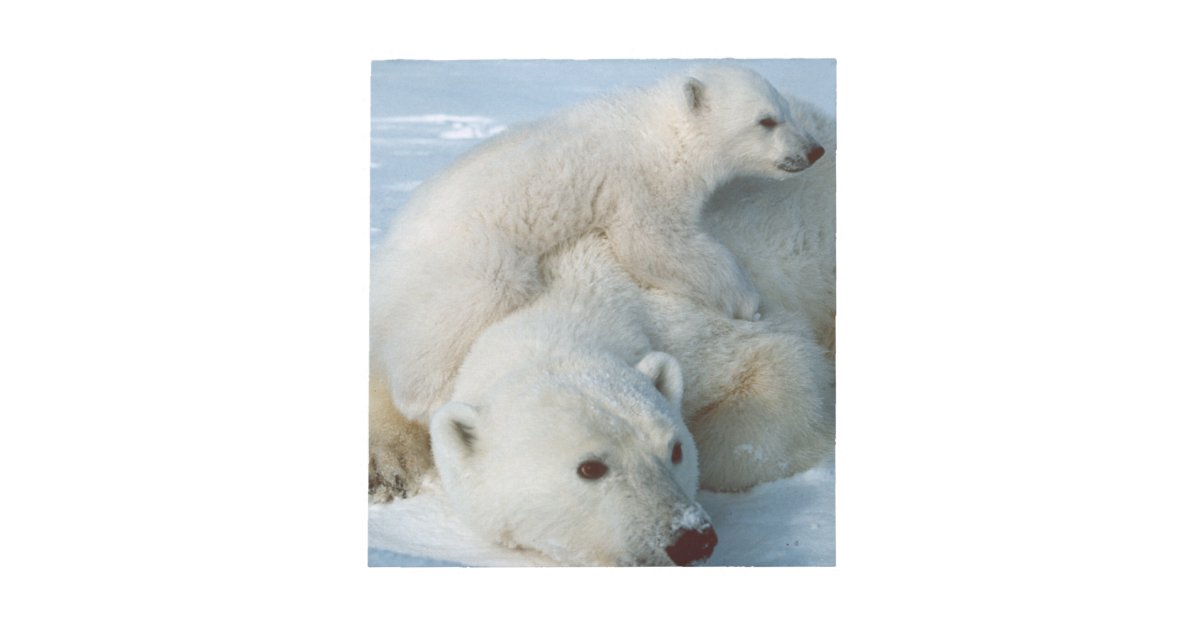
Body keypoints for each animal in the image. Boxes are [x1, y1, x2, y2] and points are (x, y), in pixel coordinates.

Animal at [369, 64, 827, 468]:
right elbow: (653, 242)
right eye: (766, 120)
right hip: (470, 257)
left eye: (785, 109)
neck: (658, 130)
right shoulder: (641, 181)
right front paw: (748, 301)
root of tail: (388, 258)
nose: (814, 150)